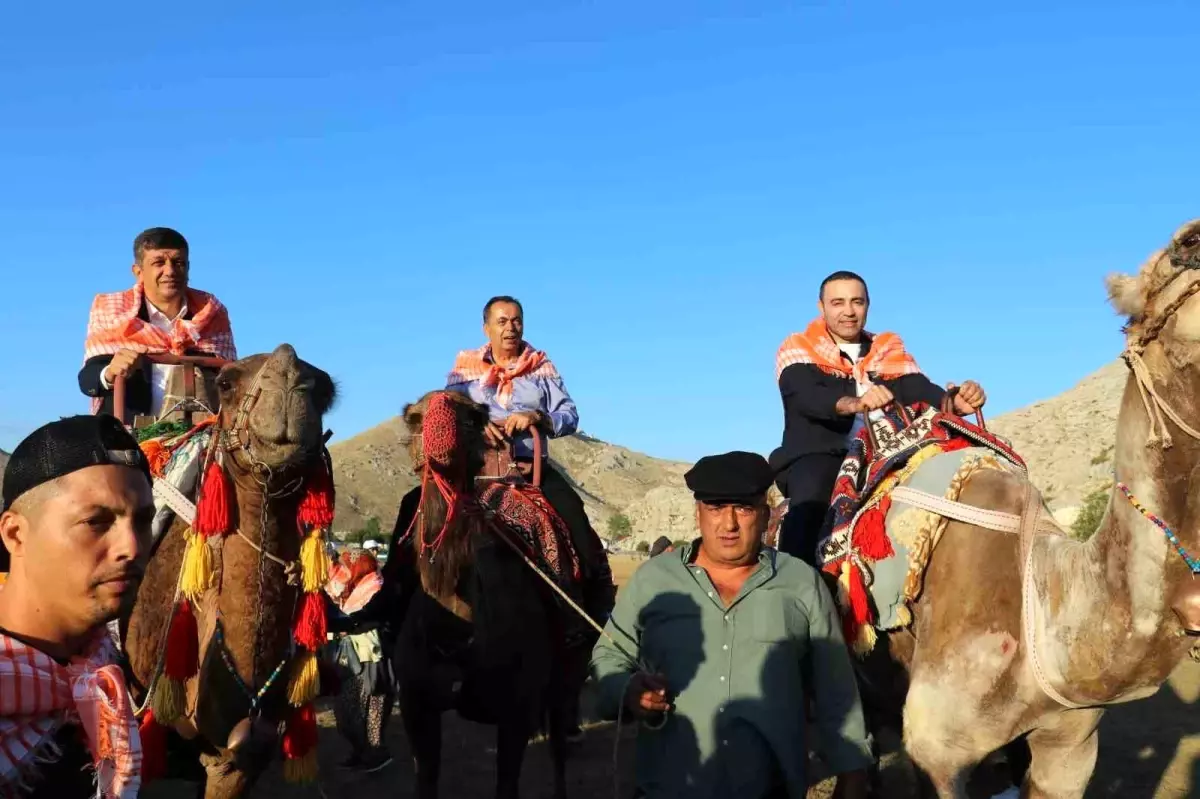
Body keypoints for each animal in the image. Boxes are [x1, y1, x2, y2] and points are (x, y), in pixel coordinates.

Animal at [381, 388, 573, 791]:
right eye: (415, 418)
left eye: (473, 417)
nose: (440, 436)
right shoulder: (416, 705)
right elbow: (426, 780)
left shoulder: (517, 709)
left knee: (559, 746)